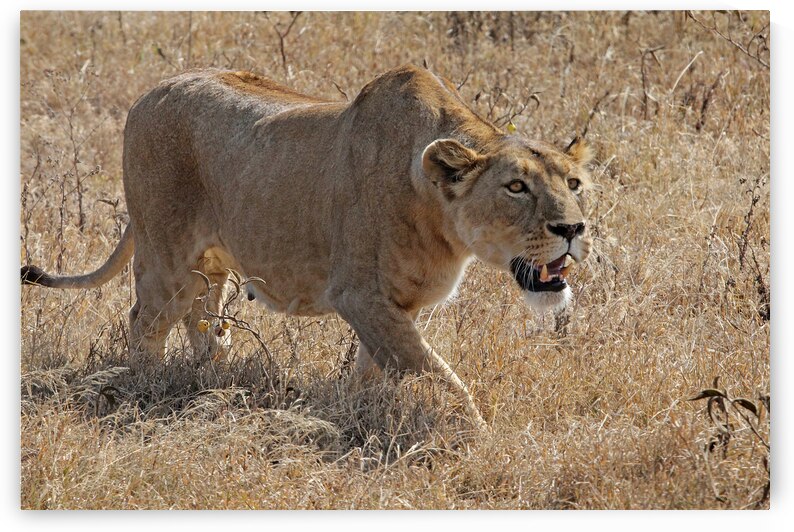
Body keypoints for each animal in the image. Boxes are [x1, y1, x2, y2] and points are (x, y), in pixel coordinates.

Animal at [21, 65, 593, 430]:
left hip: (212, 263)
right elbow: (435, 374)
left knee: (202, 319)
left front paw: (356, 416)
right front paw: (476, 435)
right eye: (516, 187)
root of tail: (150, 92)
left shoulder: (391, 305)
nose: (573, 228)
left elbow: (378, 368)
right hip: (167, 255)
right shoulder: (358, 294)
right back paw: (148, 389)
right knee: (145, 320)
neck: (438, 211)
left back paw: (217, 378)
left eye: (574, 183)